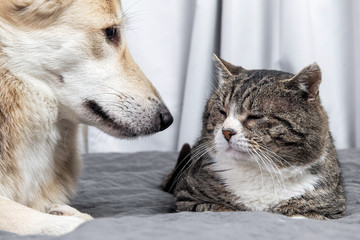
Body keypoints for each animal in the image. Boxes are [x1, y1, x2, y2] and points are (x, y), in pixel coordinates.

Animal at [163, 54, 346, 219]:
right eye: (222, 112)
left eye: (254, 116)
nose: (226, 131)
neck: (260, 172)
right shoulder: (186, 199)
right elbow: (222, 209)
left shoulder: (331, 209)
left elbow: (304, 215)